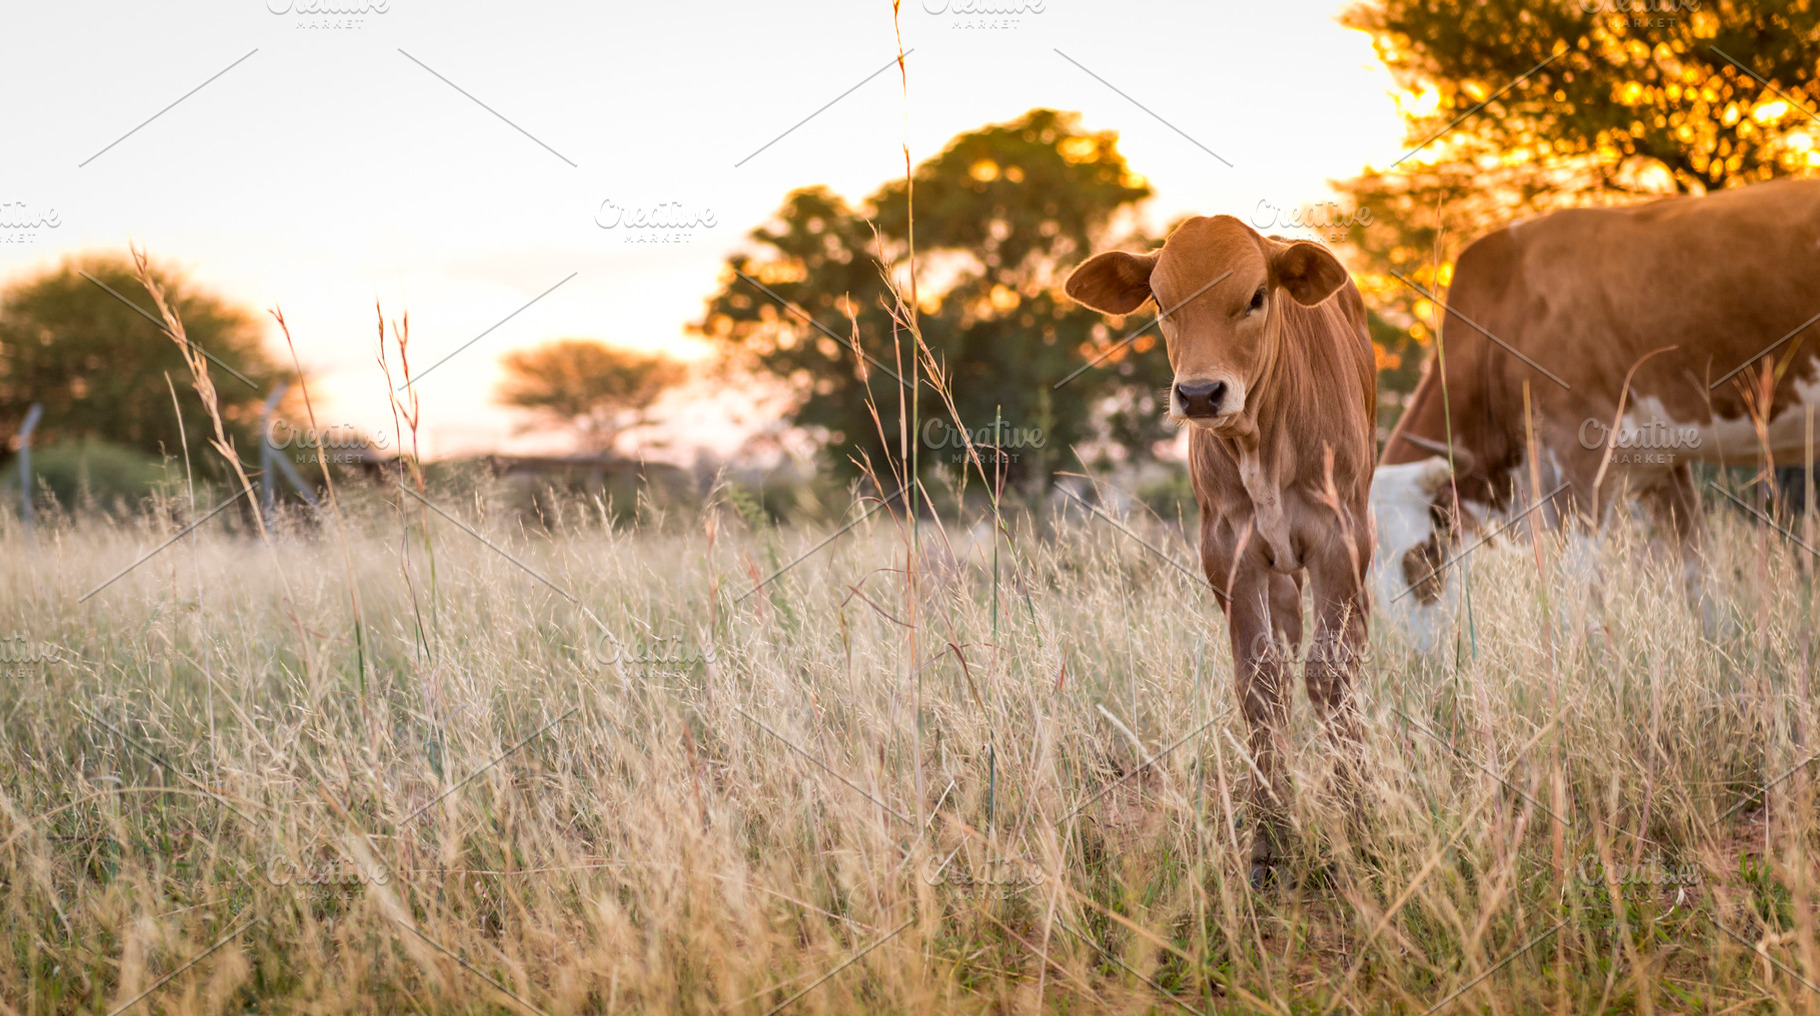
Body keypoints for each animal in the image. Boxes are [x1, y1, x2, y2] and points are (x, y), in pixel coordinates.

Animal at [1066, 215, 1377, 884]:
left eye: (1256, 297)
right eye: (1161, 303)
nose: (1201, 393)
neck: (1262, 439)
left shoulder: (1339, 542)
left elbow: (1332, 672)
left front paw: (1361, 825)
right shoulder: (1229, 555)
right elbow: (1259, 682)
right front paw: (1270, 841)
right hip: (1281, 575)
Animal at [1372, 178, 1820, 648]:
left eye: (1425, 554)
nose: (1418, 655)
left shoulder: (1581, 456)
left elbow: (1577, 588)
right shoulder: (1661, 466)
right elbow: (1699, 576)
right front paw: (1722, 654)